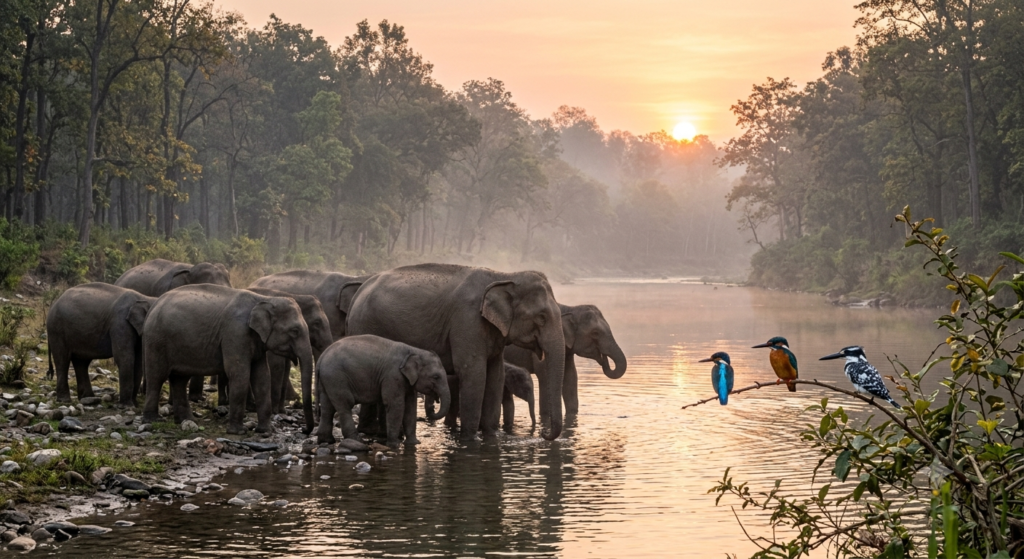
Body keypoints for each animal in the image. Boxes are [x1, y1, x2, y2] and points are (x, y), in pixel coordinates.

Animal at [141, 285, 313, 434]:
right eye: (295, 331)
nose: (305, 430)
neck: (264, 299)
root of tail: (154, 304)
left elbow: (262, 378)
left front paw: (265, 431)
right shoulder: (236, 333)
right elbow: (239, 375)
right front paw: (238, 432)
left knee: (180, 380)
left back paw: (186, 420)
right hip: (156, 340)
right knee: (157, 377)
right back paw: (153, 420)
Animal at [315, 335, 450, 448]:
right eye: (436, 377)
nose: (436, 401)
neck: (414, 350)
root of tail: (321, 358)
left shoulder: (407, 381)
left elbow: (411, 407)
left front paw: (414, 444)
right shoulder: (392, 376)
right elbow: (395, 405)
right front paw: (394, 445)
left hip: (328, 380)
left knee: (327, 408)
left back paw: (326, 441)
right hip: (337, 378)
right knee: (345, 405)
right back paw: (357, 441)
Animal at [345, 263, 565, 441]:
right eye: (542, 317)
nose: (543, 434)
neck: (503, 275)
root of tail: (356, 295)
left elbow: (495, 376)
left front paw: (490, 436)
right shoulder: (467, 320)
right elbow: (473, 373)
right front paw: (469, 439)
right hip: (366, 325)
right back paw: (371, 431)